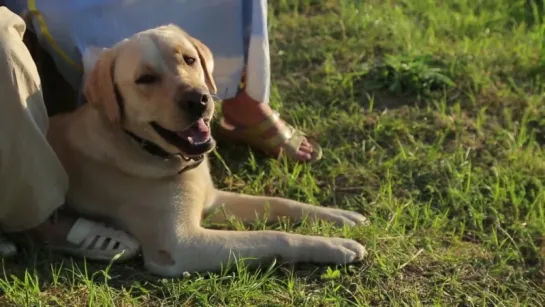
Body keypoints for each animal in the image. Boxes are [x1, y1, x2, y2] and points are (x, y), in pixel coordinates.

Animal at [47, 25, 366, 278]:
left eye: (189, 59)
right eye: (145, 78)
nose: (197, 99)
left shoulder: (212, 199)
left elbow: (280, 202)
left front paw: (339, 216)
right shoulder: (182, 243)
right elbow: (273, 236)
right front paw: (334, 245)